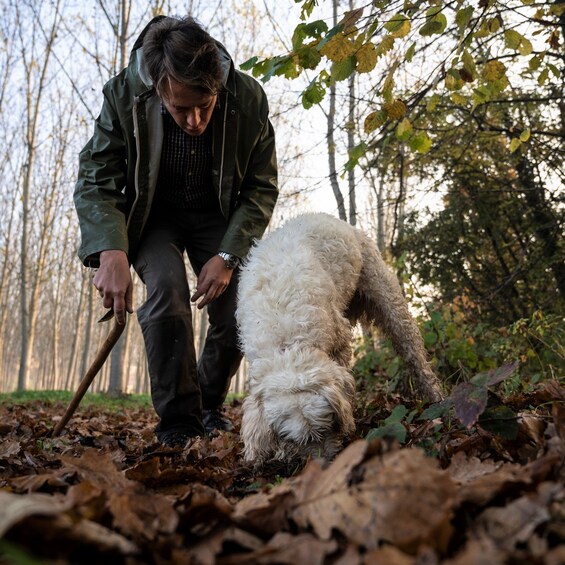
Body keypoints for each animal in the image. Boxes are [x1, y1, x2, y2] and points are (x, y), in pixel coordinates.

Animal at [236, 212, 442, 462]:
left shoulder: (339, 343)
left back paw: (436, 396)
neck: (287, 343)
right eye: (297, 441)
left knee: (414, 354)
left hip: (387, 299)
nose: (324, 463)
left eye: (329, 426)